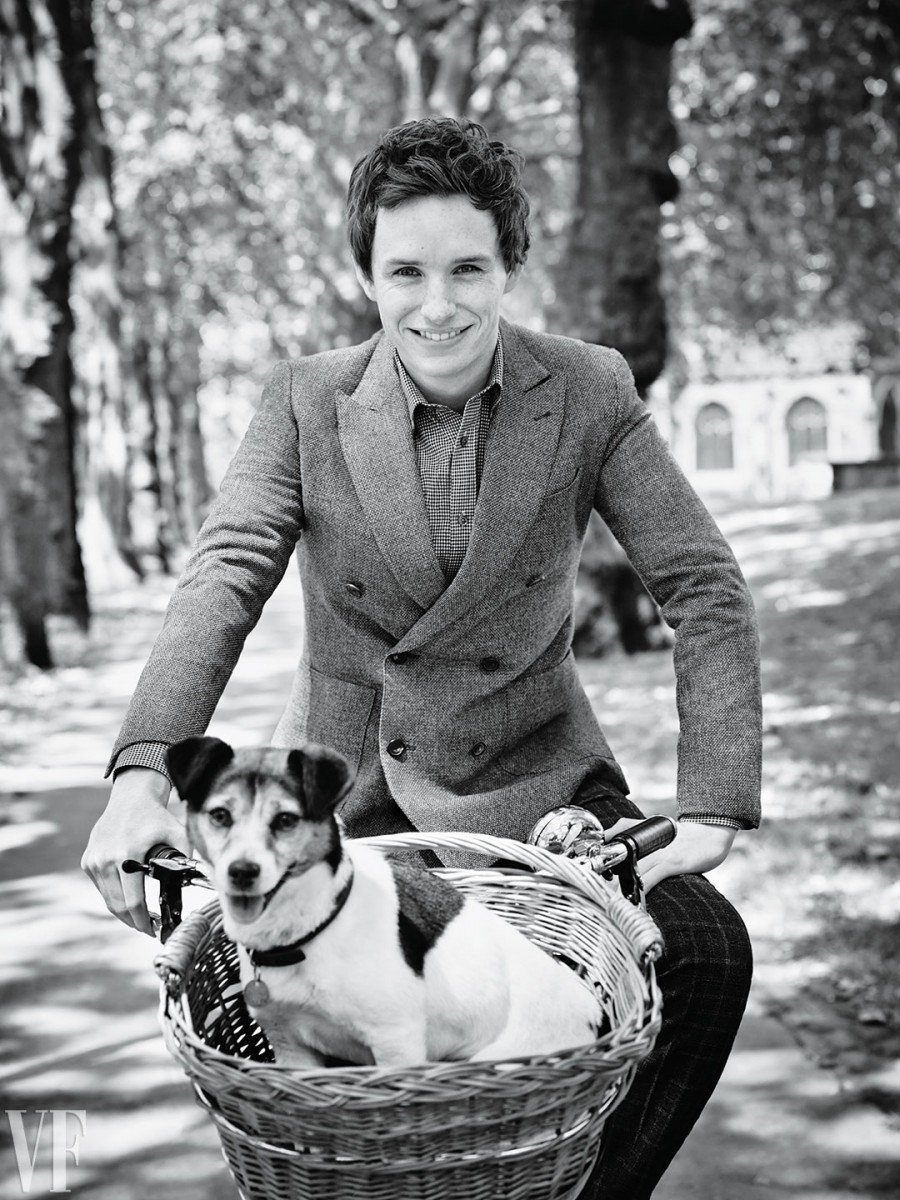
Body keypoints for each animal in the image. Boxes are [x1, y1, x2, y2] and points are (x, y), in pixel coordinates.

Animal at [168, 734, 607, 1075]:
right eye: (220, 815)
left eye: (285, 820)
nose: (242, 872)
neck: (307, 935)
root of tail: (598, 1019)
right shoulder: (291, 1048)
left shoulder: (396, 1046)